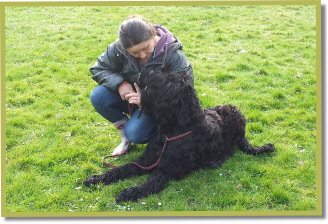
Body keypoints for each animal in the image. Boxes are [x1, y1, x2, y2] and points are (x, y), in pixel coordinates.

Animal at [84, 70, 274, 203]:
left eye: (170, 81)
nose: (146, 72)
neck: (169, 133)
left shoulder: (168, 169)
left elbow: (151, 183)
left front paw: (130, 192)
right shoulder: (147, 160)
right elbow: (124, 168)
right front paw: (98, 178)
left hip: (234, 112)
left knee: (230, 149)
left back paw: (216, 160)